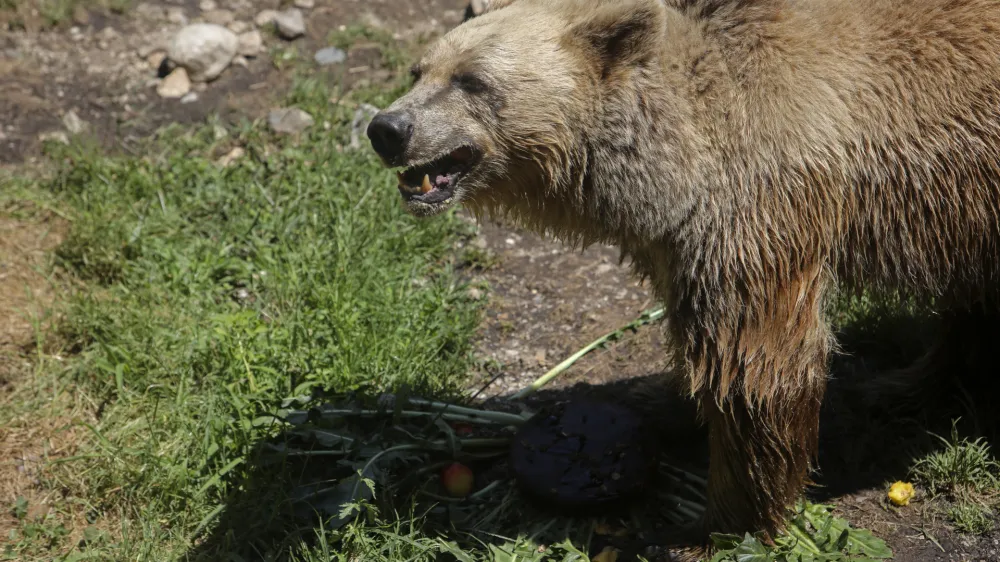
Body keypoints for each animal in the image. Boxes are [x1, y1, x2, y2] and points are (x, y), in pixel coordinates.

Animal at [366, 0, 1000, 552]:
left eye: (472, 80)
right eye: (420, 69)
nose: (387, 128)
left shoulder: (759, 206)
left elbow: (755, 365)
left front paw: (715, 523)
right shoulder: (679, 237)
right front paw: (661, 399)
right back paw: (909, 384)